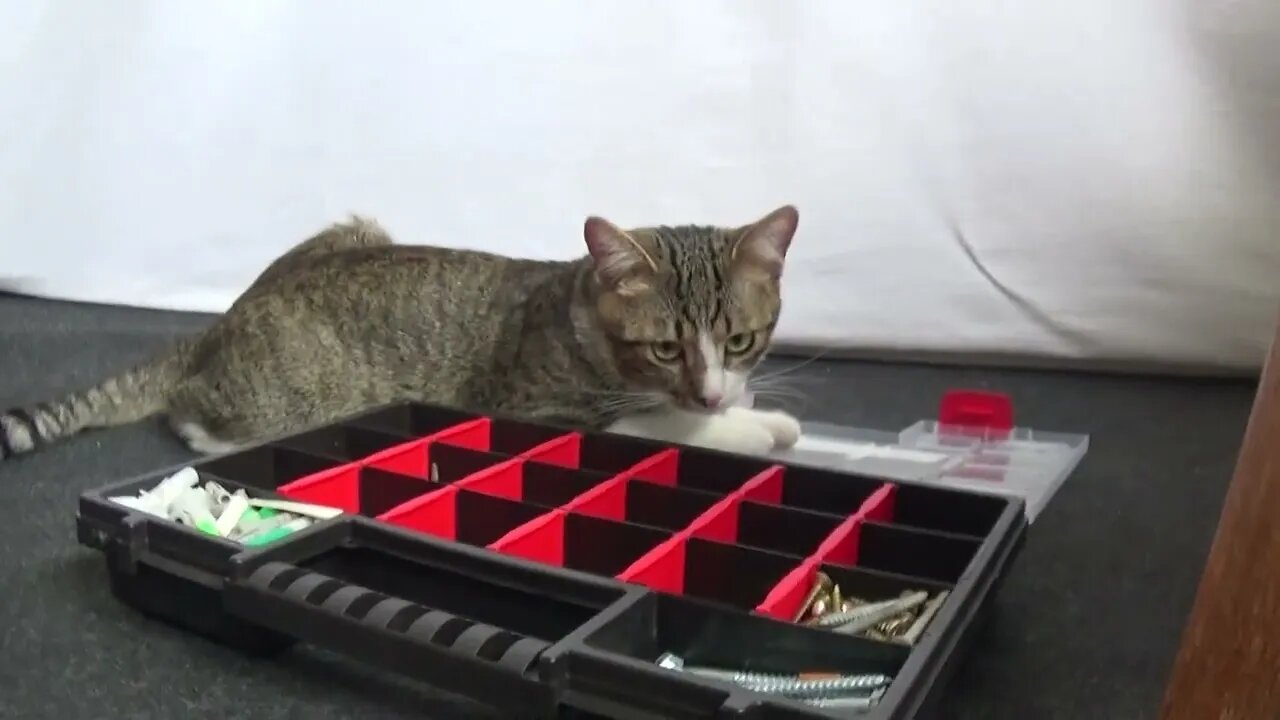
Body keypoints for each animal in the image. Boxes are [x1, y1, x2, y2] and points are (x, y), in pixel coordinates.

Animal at [0, 203, 798, 458]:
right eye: (665, 348)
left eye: (739, 341)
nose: (712, 393)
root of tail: (221, 321)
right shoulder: (535, 407)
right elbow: (658, 421)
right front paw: (747, 427)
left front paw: (749, 407)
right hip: (301, 393)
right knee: (194, 409)